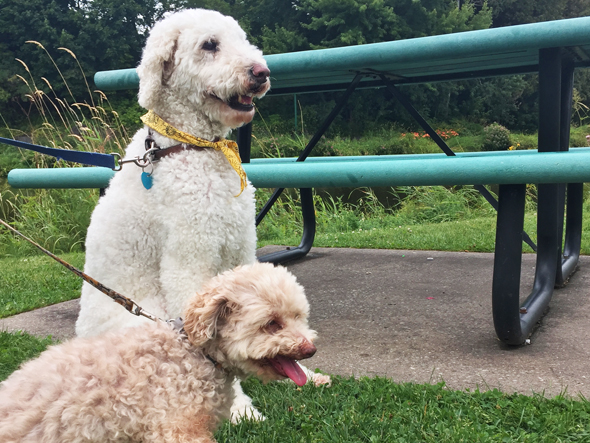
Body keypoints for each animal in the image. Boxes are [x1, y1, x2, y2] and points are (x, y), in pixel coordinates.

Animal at [75, 6, 328, 424]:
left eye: (242, 39)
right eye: (210, 45)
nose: (261, 72)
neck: (191, 147)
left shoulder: (241, 248)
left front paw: (302, 368)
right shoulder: (188, 260)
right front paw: (240, 407)